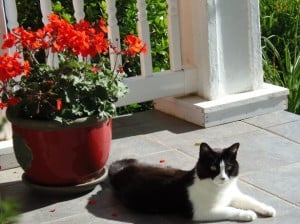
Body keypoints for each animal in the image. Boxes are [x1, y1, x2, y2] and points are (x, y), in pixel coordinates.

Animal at [108, 143, 276, 221]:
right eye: (213, 167)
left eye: (228, 167)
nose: (223, 178)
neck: (220, 190)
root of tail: (121, 171)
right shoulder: (201, 212)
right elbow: (229, 210)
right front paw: (247, 214)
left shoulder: (233, 194)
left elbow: (251, 200)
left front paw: (268, 209)